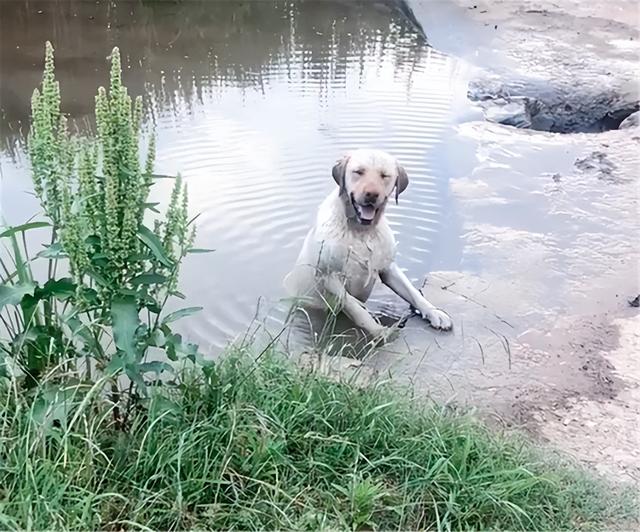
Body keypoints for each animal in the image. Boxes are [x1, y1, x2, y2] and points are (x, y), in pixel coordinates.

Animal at [282, 148, 452, 342]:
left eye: (384, 175)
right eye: (358, 172)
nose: (371, 194)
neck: (361, 232)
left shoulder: (388, 268)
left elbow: (413, 293)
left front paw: (434, 312)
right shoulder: (328, 276)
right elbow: (354, 307)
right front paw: (378, 331)